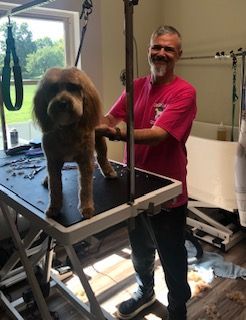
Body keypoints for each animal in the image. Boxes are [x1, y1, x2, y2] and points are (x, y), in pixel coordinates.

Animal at [33, 66, 117, 219]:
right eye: (53, 89)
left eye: (73, 87)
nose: (62, 103)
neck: (67, 130)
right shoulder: (52, 161)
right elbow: (55, 187)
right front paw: (54, 207)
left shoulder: (85, 160)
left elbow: (85, 187)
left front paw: (86, 208)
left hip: (99, 139)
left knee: (102, 157)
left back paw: (109, 171)